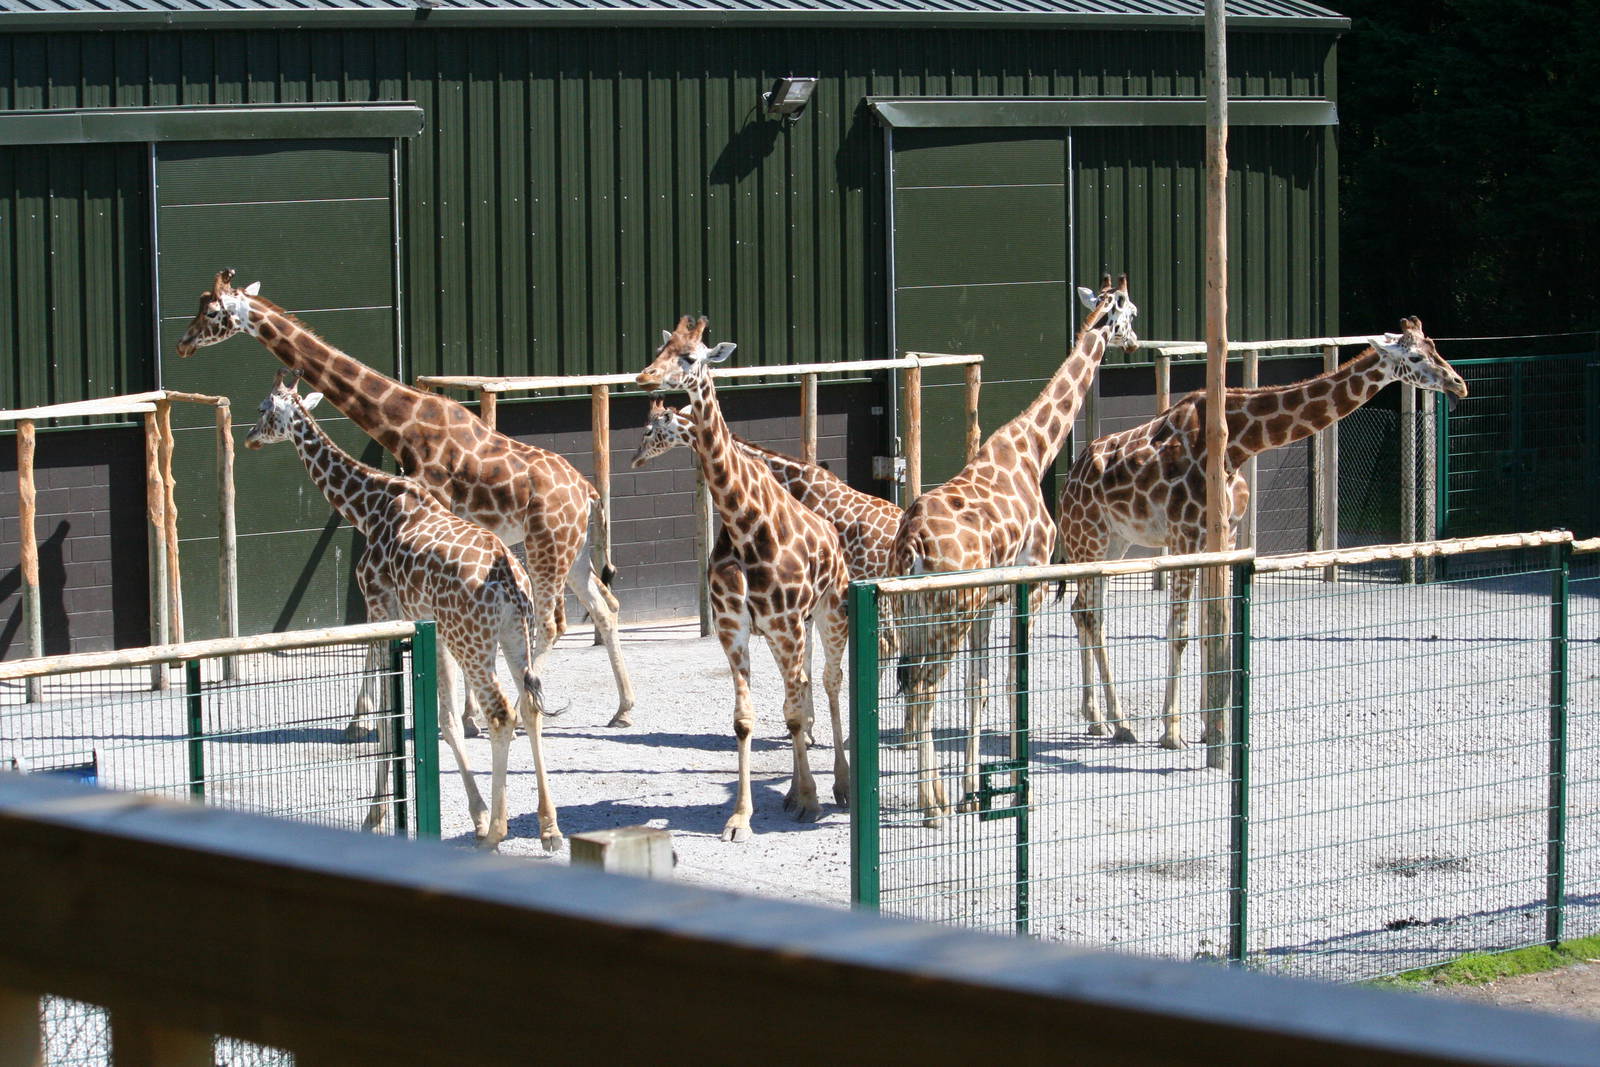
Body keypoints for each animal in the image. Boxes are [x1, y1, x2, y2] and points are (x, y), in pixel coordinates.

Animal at [176, 270, 636, 731]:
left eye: (212, 313)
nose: (183, 343)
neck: (403, 424)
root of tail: (589, 493)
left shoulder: (432, 515)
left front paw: (395, 717)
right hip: (572, 552)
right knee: (605, 606)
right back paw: (623, 709)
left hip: (547, 548)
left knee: (551, 621)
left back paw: (528, 710)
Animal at [245, 370, 562, 851]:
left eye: (265, 408)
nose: (248, 437)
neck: (366, 506)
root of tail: (509, 575)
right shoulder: (428, 624)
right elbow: (444, 719)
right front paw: (474, 813)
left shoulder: (380, 606)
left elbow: (387, 716)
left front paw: (376, 816)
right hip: (509, 635)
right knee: (529, 707)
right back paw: (548, 828)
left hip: (473, 641)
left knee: (501, 713)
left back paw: (496, 832)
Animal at [635, 316, 850, 843]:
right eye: (660, 350)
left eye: (690, 356)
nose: (644, 377)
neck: (743, 522)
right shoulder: (736, 630)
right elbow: (746, 721)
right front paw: (740, 817)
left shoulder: (788, 625)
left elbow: (794, 713)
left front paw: (811, 799)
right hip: (783, 632)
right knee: (803, 692)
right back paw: (793, 792)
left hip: (829, 613)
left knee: (829, 683)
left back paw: (839, 786)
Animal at [891, 275, 1140, 826]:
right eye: (1131, 311)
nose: (1134, 343)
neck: (1033, 452)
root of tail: (911, 542)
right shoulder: (1031, 587)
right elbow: (1012, 681)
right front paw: (1007, 786)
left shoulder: (989, 603)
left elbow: (978, 686)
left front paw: (970, 790)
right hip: (949, 613)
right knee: (924, 689)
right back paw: (931, 808)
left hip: (914, 614)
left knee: (917, 688)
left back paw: (935, 798)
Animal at [1059, 316, 1467, 750]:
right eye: (1415, 356)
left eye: (1436, 346)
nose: (1459, 384)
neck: (1237, 445)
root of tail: (1068, 484)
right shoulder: (1184, 535)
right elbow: (1180, 631)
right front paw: (1172, 732)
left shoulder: (1224, 536)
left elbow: (1213, 628)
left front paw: (1210, 727)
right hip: (1088, 538)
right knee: (1090, 615)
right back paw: (1117, 722)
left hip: (1113, 542)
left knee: (1085, 611)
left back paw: (1099, 719)